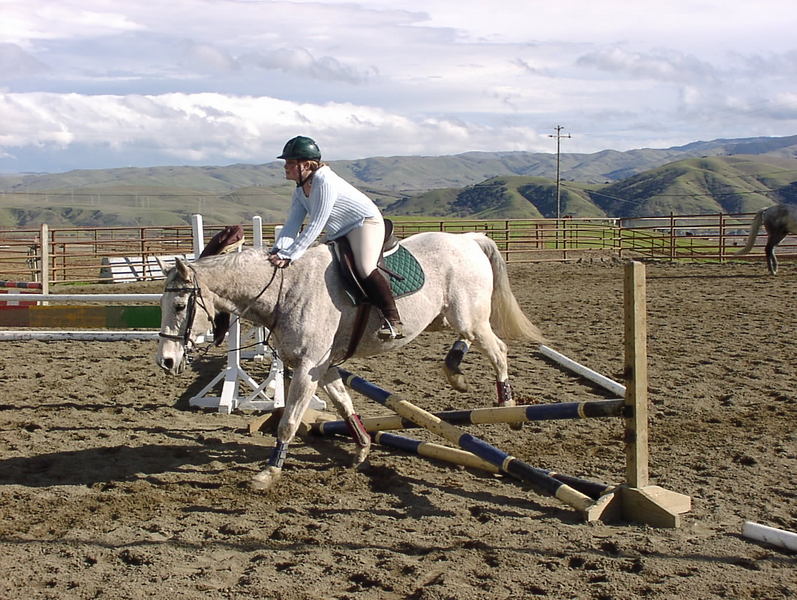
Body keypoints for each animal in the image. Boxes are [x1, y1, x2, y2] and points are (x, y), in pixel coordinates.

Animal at [155, 231, 544, 491]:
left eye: (180, 306)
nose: (166, 362)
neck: (285, 289)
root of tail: (468, 239)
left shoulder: (308, 368)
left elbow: (288, 423)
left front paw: (268, 473)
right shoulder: (322, 366)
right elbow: (344, 405)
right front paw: (361, 450)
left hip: (467, 316)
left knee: (497, 350)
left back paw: (508, 407)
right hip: (447, 318)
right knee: (468, 338)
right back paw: (454, 371)